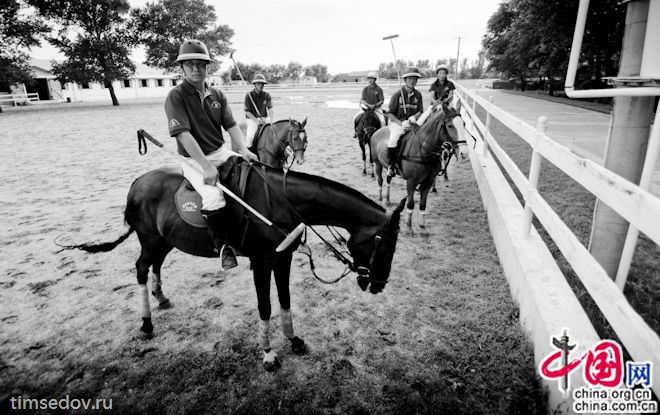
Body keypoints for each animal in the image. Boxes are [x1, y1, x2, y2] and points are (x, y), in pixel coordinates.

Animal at [63, 160, 402, 374]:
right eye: (385, 246)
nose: (378, 285)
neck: (282, 203)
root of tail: (135, 183)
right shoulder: (261, 262)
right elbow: (266, 306)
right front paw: (268, 354)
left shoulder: (283, 258)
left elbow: (285, 301)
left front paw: (294, 341)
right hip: (149, 239)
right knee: (141, 269)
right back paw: (146, 324)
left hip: (165, 240)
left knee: (156, 265)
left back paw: (162, 299)